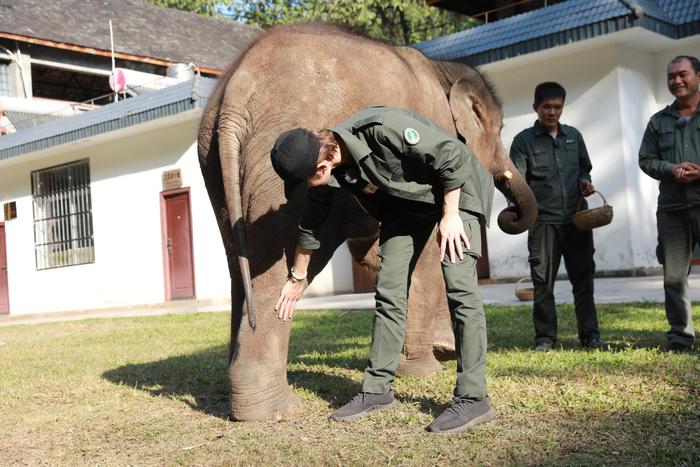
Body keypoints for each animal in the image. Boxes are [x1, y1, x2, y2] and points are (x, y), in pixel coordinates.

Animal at [197, 23, 536, 422]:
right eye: (499, 129)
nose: (508, 213)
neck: (443, 66)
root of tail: (235, 93)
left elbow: (382, 251)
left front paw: (441, 350)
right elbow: (425, 249)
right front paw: (425, 369)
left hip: (214, 164)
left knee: (240, 261)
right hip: (277, 182)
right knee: (280, 256)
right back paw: (274, 411)